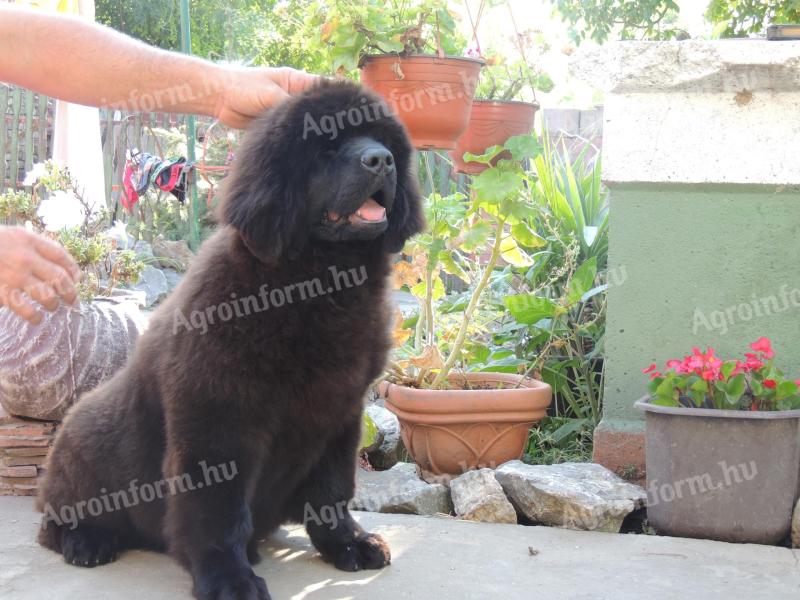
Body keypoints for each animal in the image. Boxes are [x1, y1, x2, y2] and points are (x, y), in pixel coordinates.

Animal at [37, 81, 424, 600]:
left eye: (383, 142)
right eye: (325, 147)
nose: (380, 160)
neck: (318, 285)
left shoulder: (340, 411)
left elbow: (332, 493)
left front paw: (347, 544)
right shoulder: (217, 418)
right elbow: (216, 510)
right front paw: (228, 577)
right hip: (85, 437)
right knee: (56, 518)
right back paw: (87, 540)